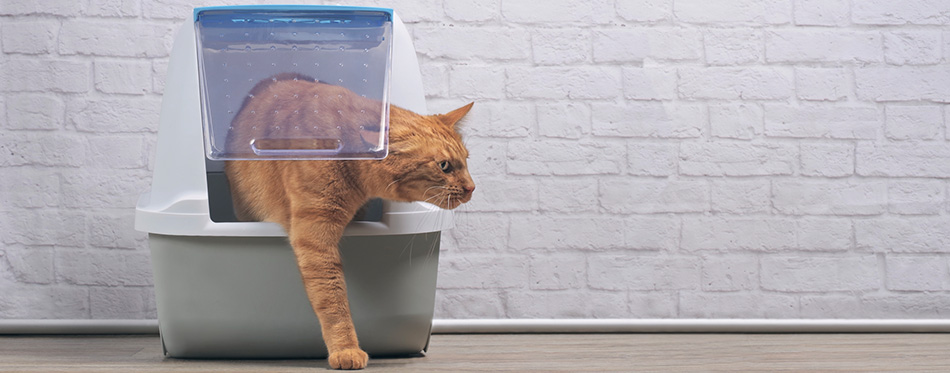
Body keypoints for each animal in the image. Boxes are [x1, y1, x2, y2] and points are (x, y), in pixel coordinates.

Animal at [224, 74, 476, 368]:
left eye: (466, 161)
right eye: (444, 166)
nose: (472, 188)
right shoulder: (314, 237)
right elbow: (332, 296)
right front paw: (345, 348)